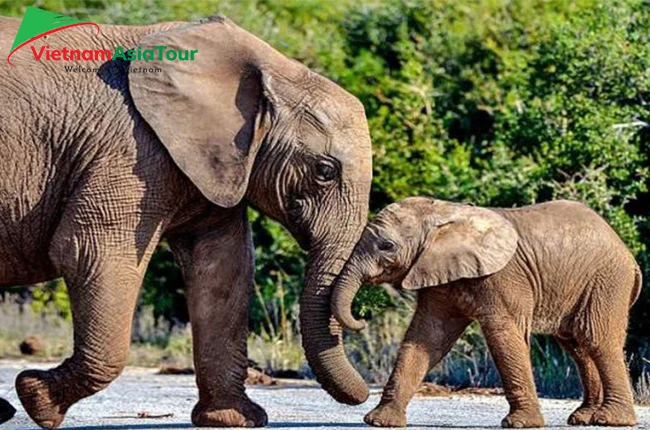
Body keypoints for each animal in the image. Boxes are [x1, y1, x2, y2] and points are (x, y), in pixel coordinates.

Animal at [0, 12, 370, 426]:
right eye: (325, 171)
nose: (361, 319)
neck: (271, 66)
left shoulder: (212, 160)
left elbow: (223, 269)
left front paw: (233, 420)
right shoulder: (131, 150)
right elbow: (90, 253)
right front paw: (37, 398)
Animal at [332, 197, 640, 426]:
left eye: (387, 246)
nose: (361, 319)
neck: (444, 214)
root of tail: (627, 253)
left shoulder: (502, 277)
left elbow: (503, 337)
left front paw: (520, 424)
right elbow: (426, 338)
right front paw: (379, 421)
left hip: (608, 280)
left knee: (597, 340)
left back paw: (612, 419)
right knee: (577, 346)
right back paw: (583, 418)